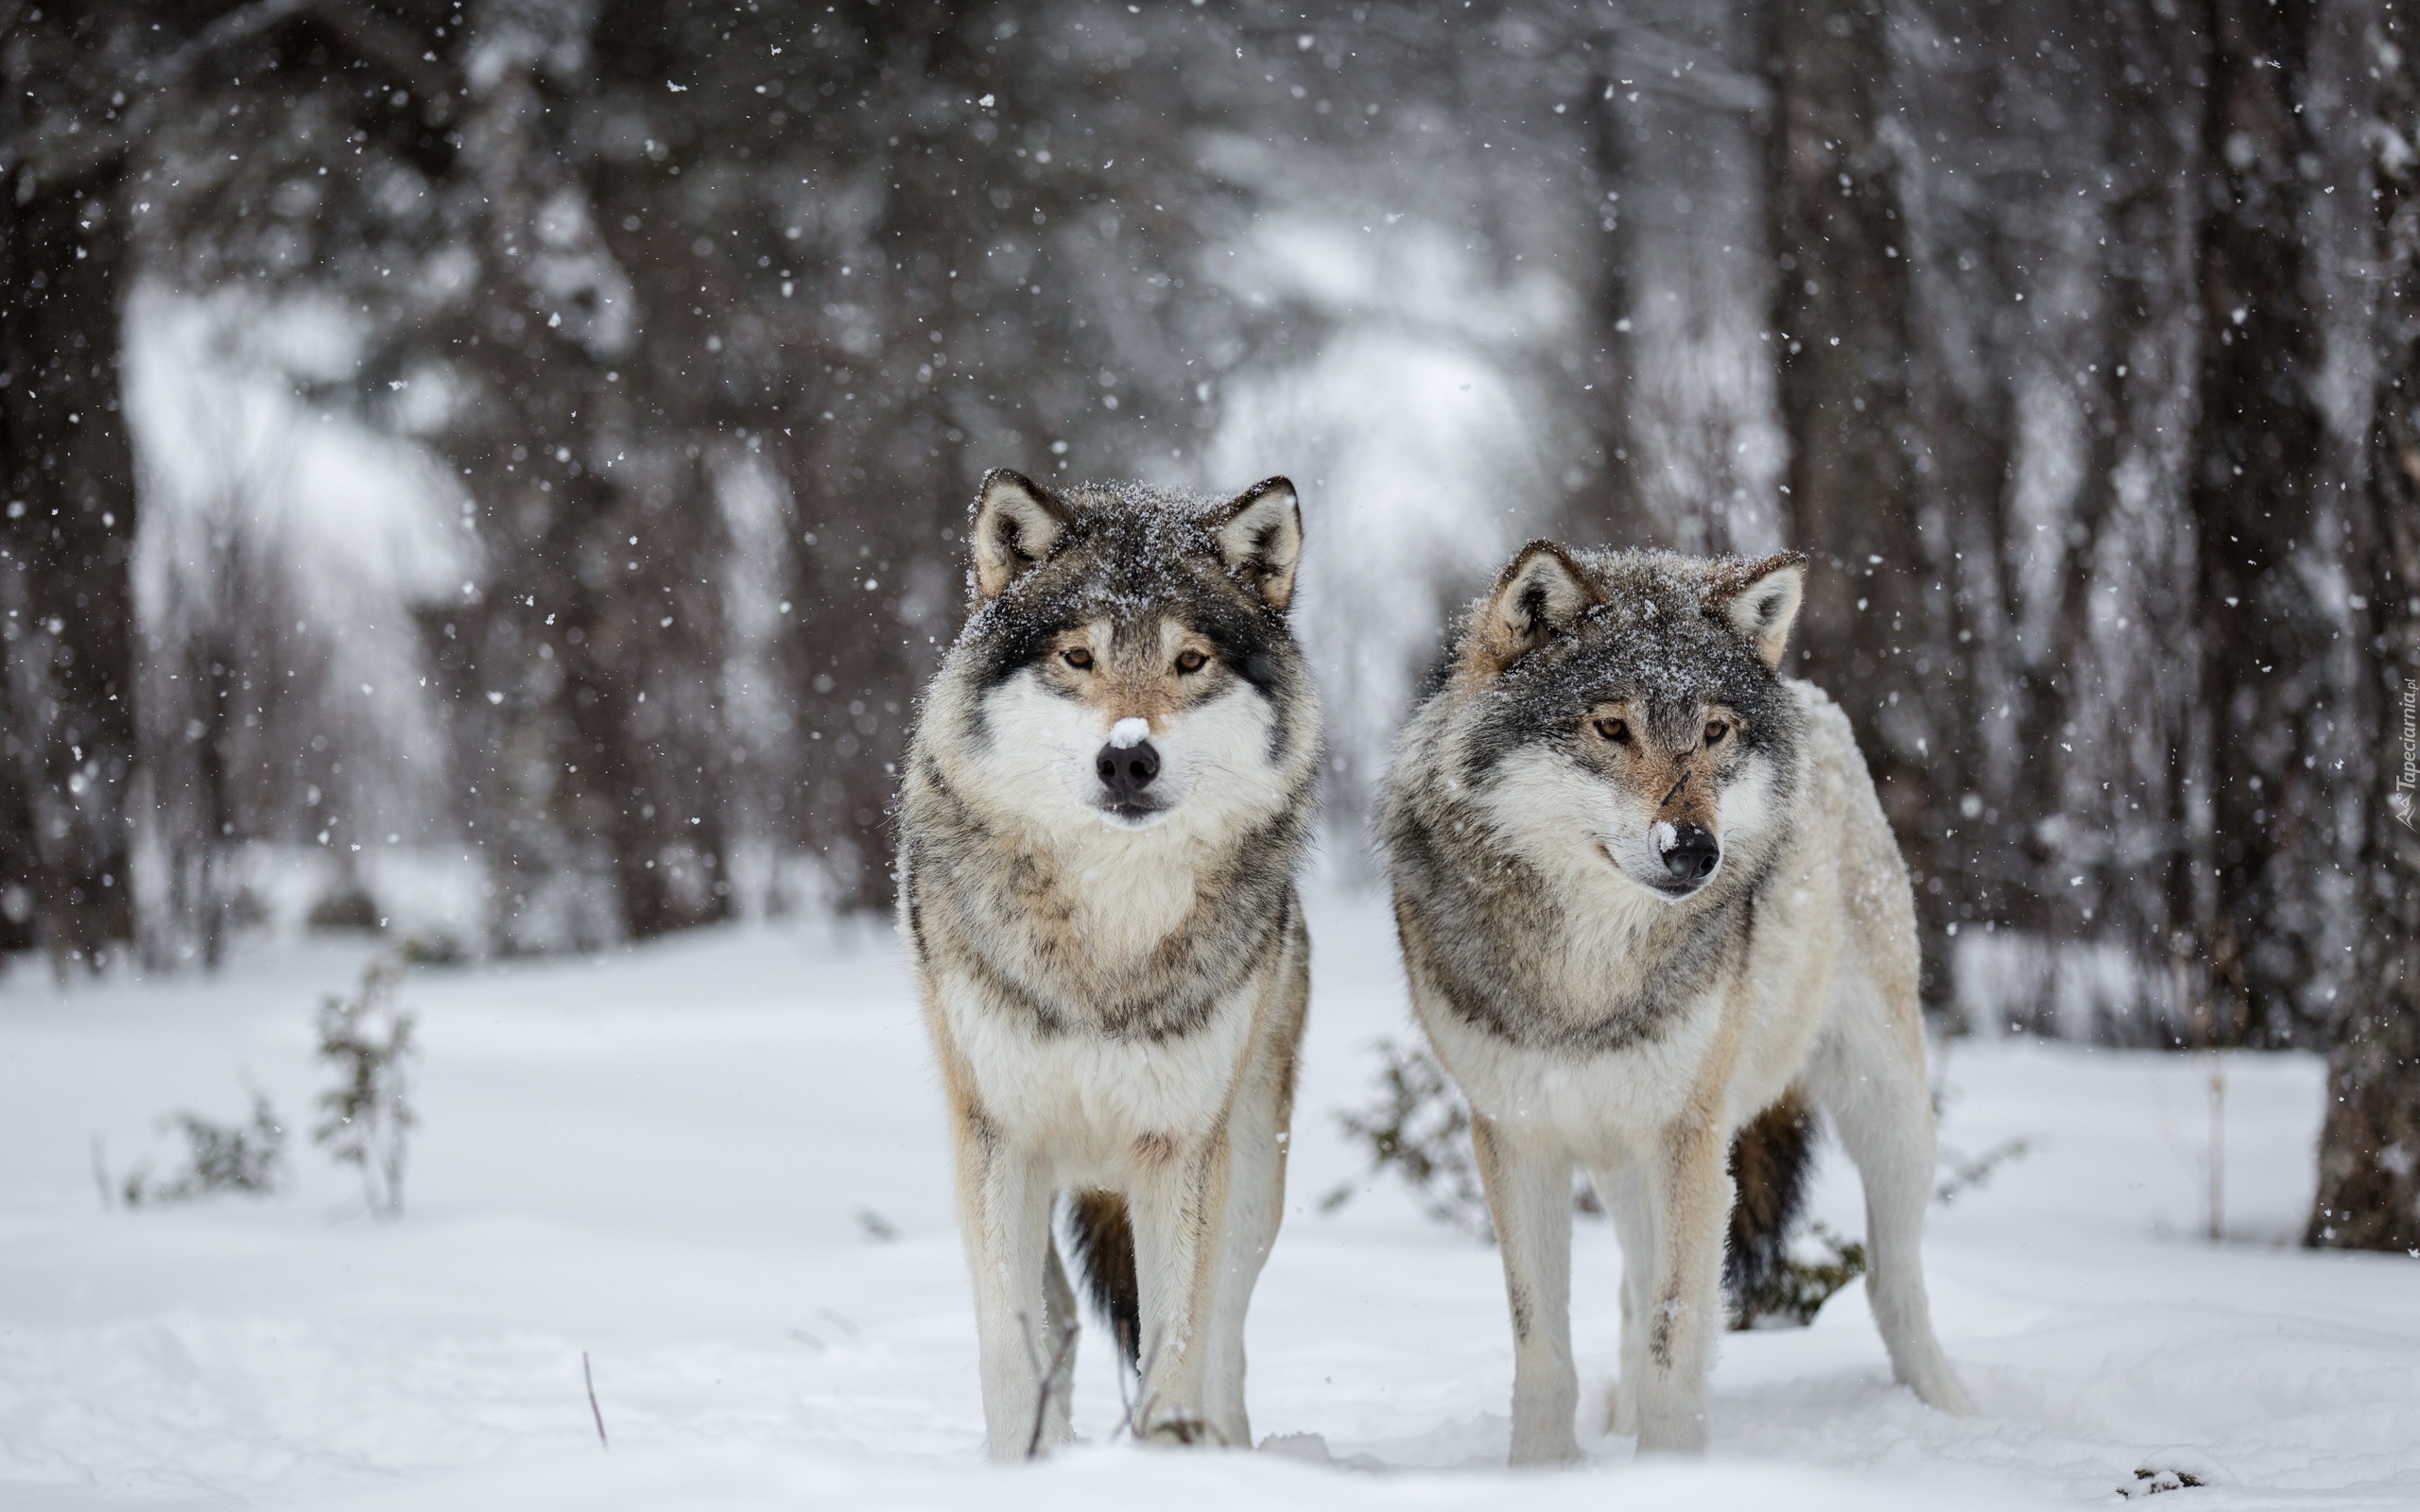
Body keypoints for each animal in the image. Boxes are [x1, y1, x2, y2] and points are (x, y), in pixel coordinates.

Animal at [895, 467, 1316, 1461]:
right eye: (1079, 658)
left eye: (1189, 662)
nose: (1128, 757)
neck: (1108, 945)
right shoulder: (997, 1140)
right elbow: (1011, 1344)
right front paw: (1022, 1465)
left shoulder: (1179, 1149)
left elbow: (1179, 1341)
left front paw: (1164, 1456)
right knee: (1059, 1322)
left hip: (1251, 1171)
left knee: (1226, 1328)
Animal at [1393, 539, 1974, 1461]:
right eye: (1611, 727)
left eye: (1713, 731)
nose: (1696, 850)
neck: (1586, 971)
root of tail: (1817, 703)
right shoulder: (1517, 1139)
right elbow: (1544, 1349)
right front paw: (1541, 1472)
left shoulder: (1689, 1139)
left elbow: (1677, 1337)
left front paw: (1668, 1469)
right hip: (1625, 1160)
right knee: (1635, 1292)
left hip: (1884, 1111)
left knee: (1891, 1284)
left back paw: (1952, 1416)